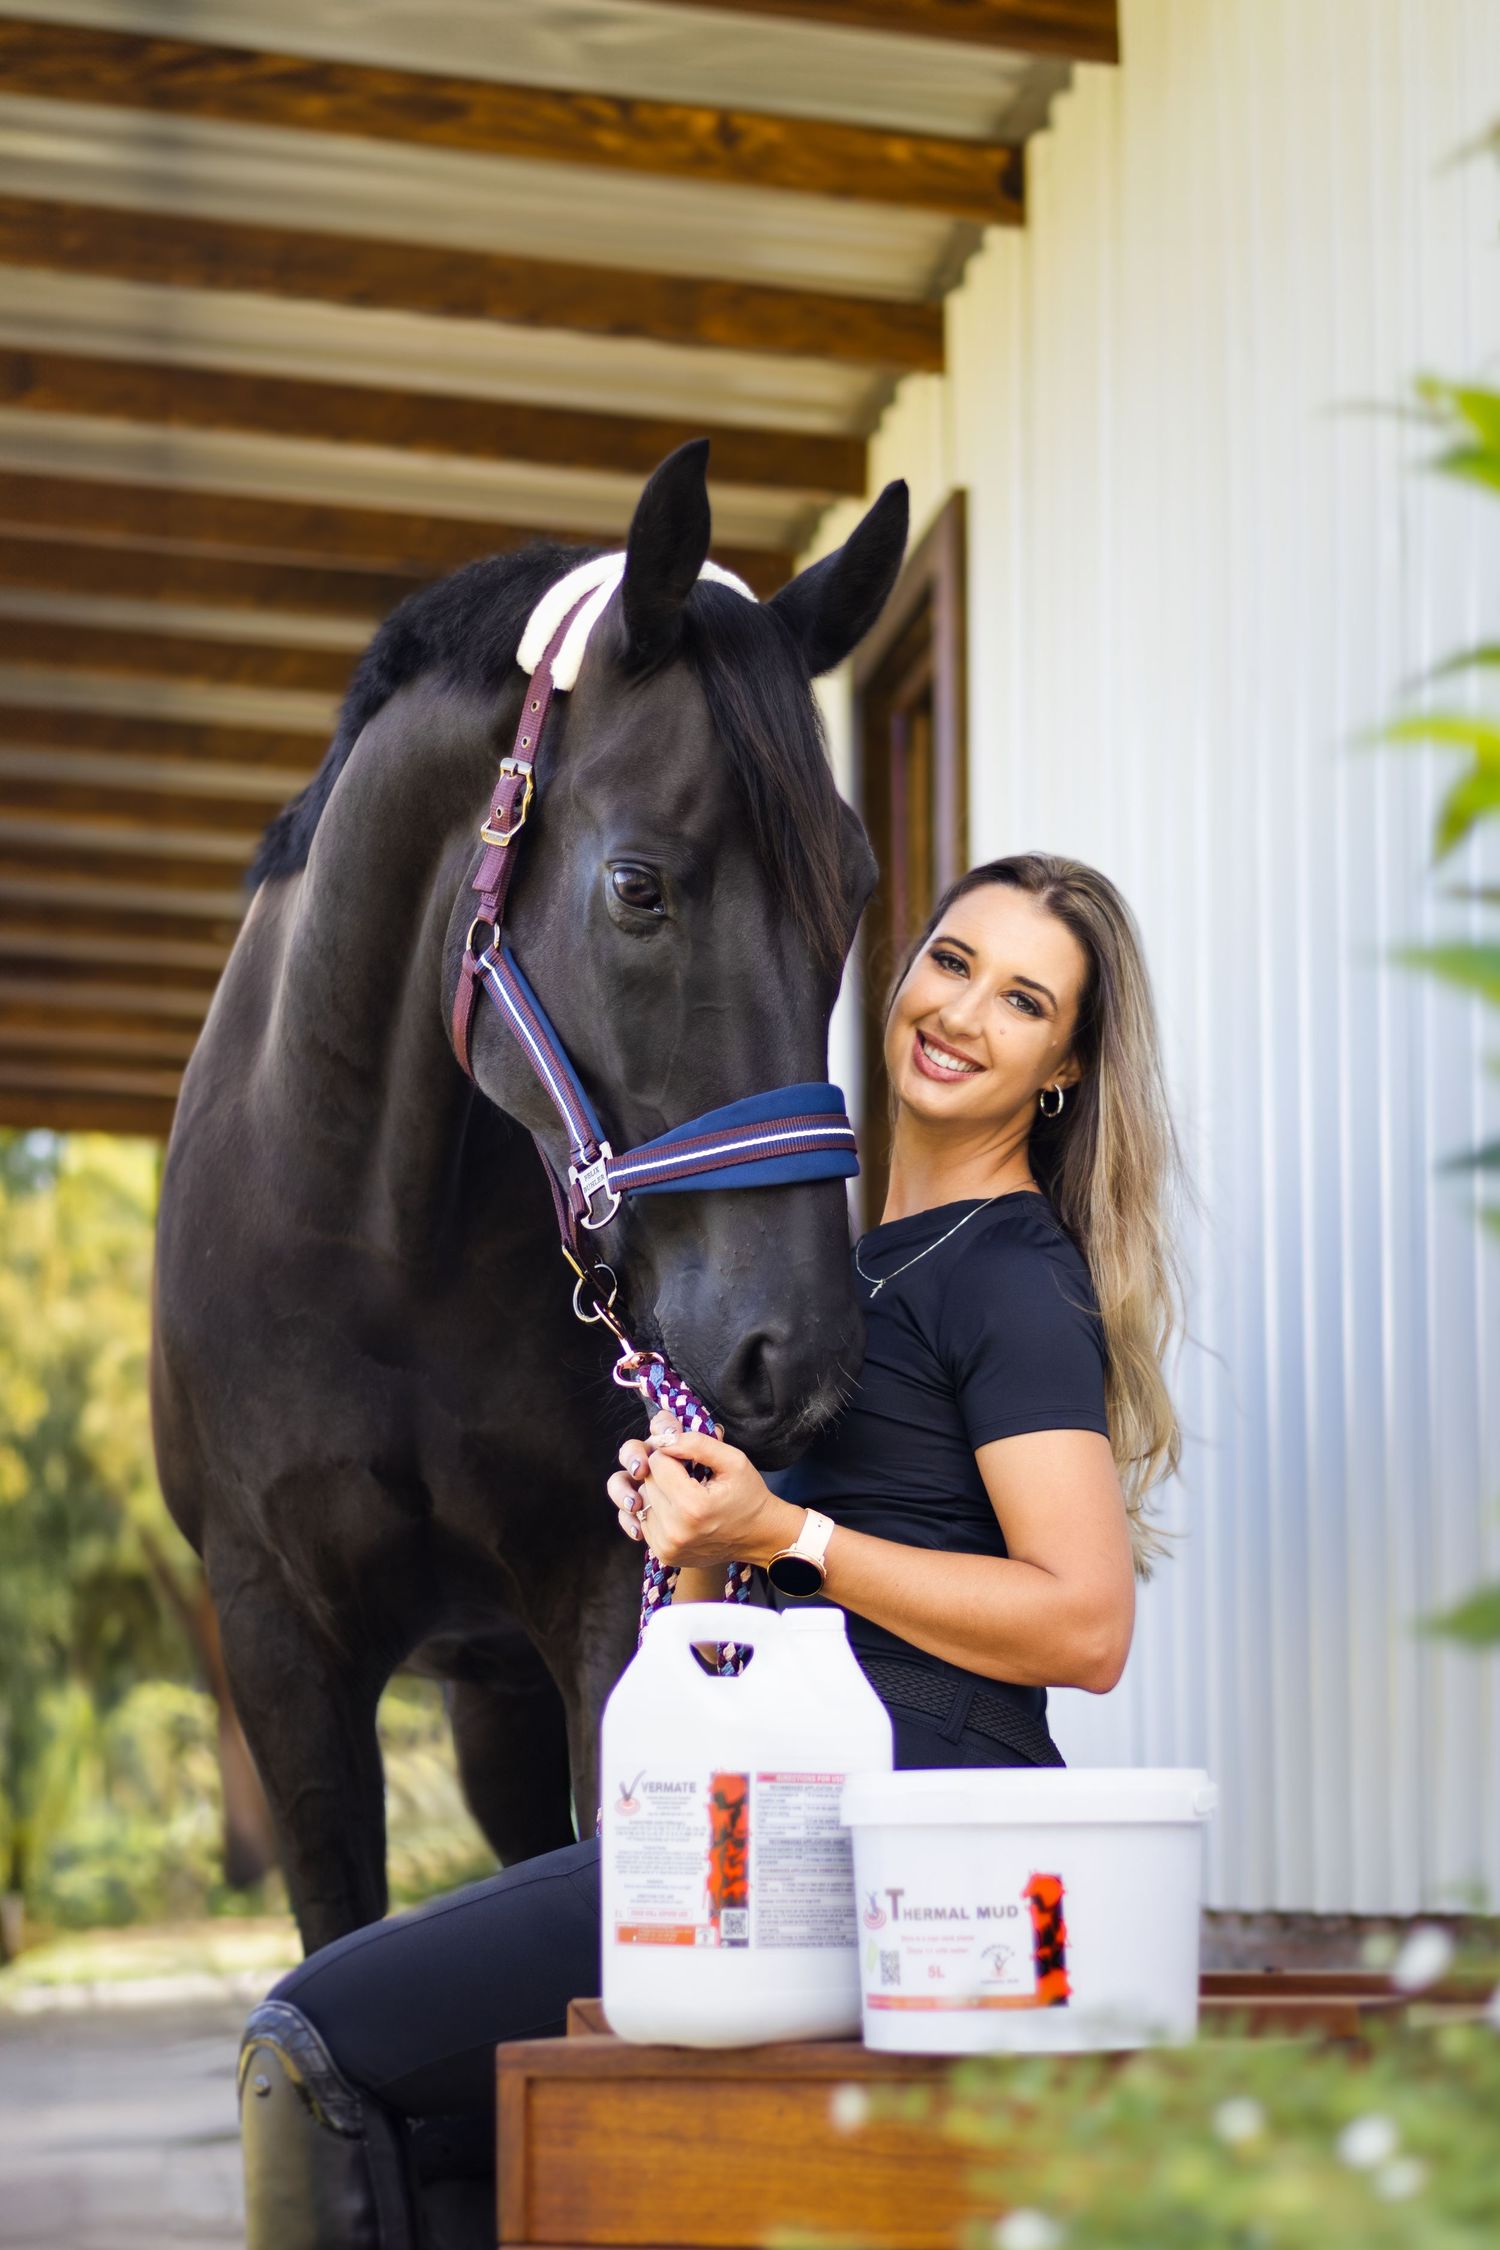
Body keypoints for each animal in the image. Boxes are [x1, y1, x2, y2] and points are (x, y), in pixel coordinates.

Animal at [150, 440, 908, 1953]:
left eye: (853, 892)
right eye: (637, 885)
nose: (792, 1355)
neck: (382, 1244)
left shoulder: (608, 1587)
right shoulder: (275, 1636)